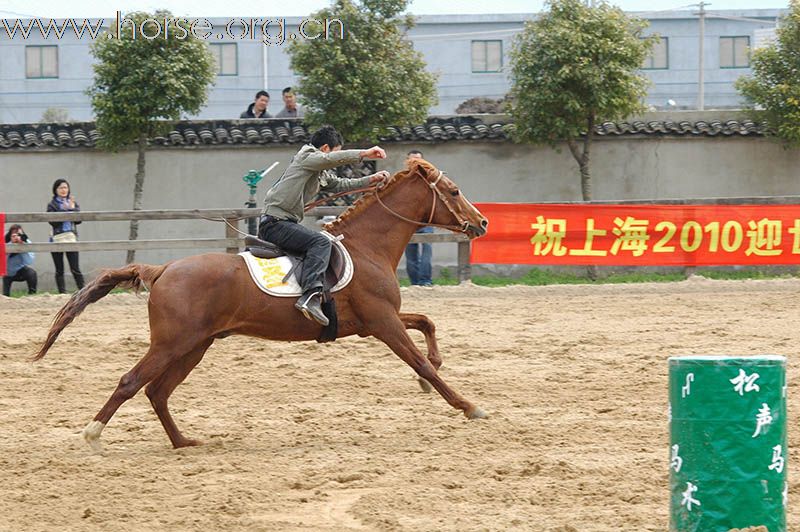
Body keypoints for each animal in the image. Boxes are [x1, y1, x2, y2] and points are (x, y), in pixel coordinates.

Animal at [32, 158, 488, 448]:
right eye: (454, 191)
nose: (481, 222)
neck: (366, 247)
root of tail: (162, 269)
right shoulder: (382, 322)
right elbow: (420, 359)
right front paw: (467, 405)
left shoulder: (377, 320)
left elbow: (426, 323)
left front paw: (434, 378)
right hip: (171, 343)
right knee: (132, 382)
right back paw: (93, 435)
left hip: (194, 346)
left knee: (157, 392)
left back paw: (183, 442)